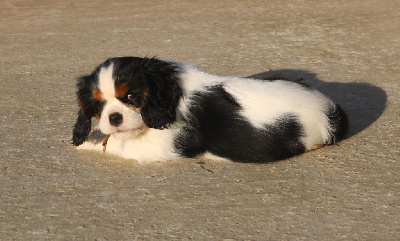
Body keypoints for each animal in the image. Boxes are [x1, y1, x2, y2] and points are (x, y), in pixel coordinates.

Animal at [72, 57, 346, 164]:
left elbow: (119, 145)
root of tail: (331, 109)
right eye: (99, 105)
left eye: (131, 97)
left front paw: (90, 143)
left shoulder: (168, 144)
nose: (114, 117)